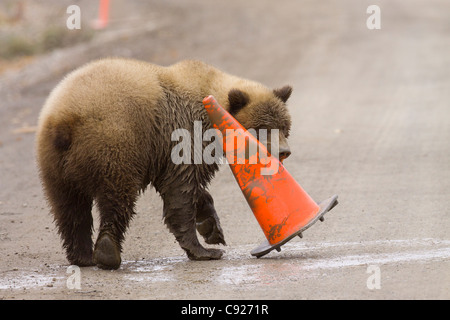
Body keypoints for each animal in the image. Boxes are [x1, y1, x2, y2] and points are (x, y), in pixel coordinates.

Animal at [37, 58, 294, 270]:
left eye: (284, 126)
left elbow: (191, 189)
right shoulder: (182, 137)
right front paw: (205, 249)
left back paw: (82, 256)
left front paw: (212, 228)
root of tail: (64, 120)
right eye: (263, 128)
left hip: (55, 166)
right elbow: (180, 193)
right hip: (116, 144)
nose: (284, 151)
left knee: (69, 209)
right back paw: (107, 253)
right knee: (117, 199)